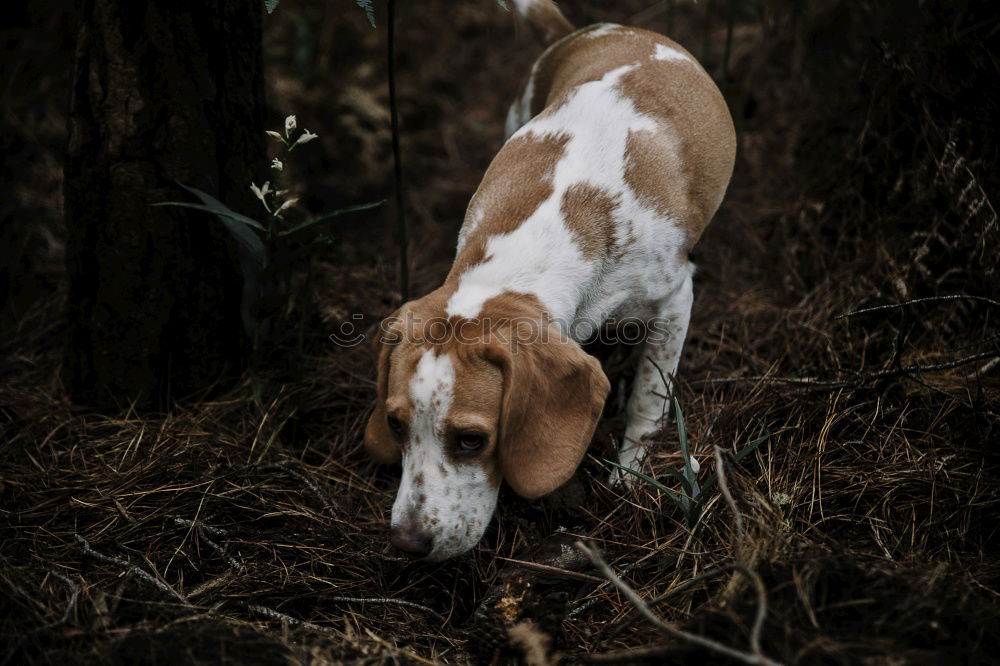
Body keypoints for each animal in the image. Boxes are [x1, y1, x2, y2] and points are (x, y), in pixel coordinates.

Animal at [366, 1, 736, 560]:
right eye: (394, 424)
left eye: (471, 440)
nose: (407, 544)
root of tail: (591, 30)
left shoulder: (675, 298)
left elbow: (650, 396)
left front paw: (631, 474)